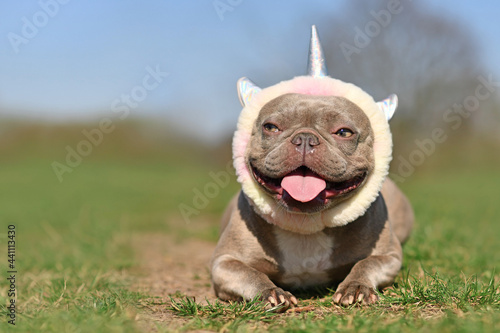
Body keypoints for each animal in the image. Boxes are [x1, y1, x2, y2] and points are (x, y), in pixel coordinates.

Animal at [209, 26, 412, 308]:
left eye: (344, 132)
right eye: (270, 127)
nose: (305, 138)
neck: (306, 226)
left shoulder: (389, 256)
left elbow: (367, 263)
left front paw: (357, 286)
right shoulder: (225, 263)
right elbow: (248, 273)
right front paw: (269, 292)